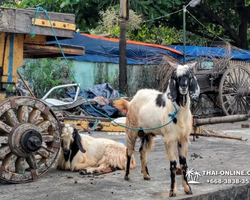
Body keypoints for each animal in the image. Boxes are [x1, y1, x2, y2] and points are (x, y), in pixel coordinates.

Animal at [114, 62, 200, 197]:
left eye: (189, 75)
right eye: (176, 77)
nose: (184, 86)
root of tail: (131, 102)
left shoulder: (183, 139)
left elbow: (183, 164)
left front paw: (187, 189)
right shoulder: (170, 139)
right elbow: (173, 165)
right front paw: (172, 191)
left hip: (147, 132)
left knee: (142, 151)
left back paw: (146, 175)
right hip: (131, 129)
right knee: (129, 151)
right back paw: (127, 175)